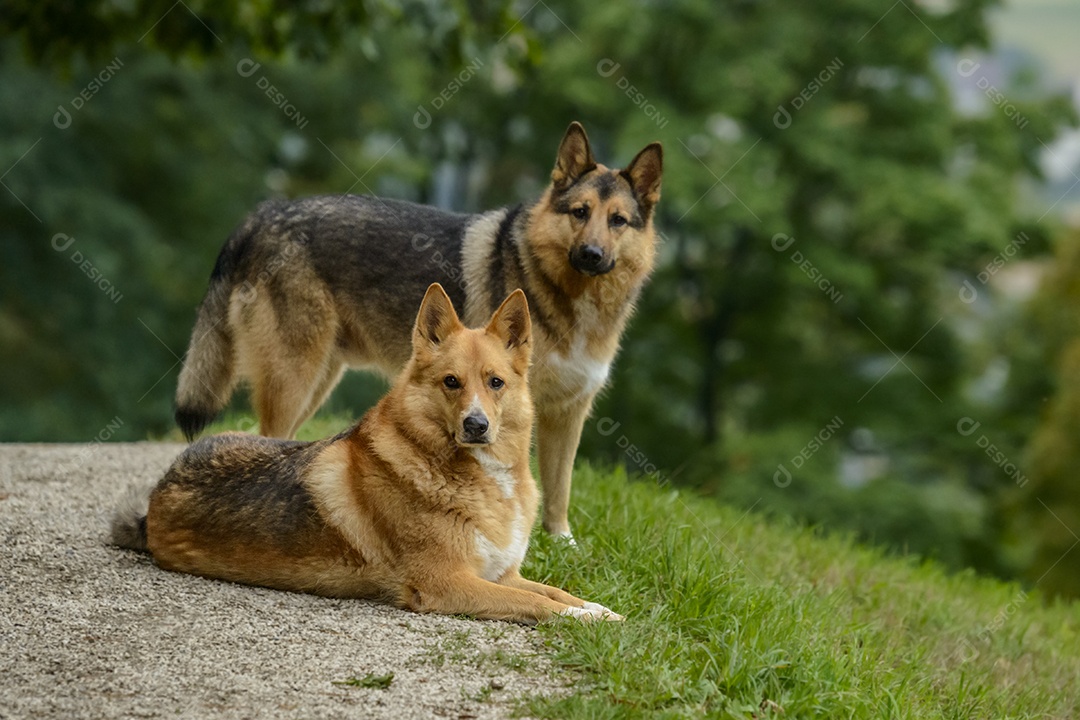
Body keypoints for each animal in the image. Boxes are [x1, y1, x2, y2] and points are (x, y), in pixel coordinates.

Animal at [172, 120, 660, 537]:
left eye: (618, 220)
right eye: (579, 212)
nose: (592, 255)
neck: (571, 298)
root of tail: (264, 213)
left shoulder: (568, 412)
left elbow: (559, 492)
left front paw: (560, 544)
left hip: (315, 385)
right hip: (294, 381)